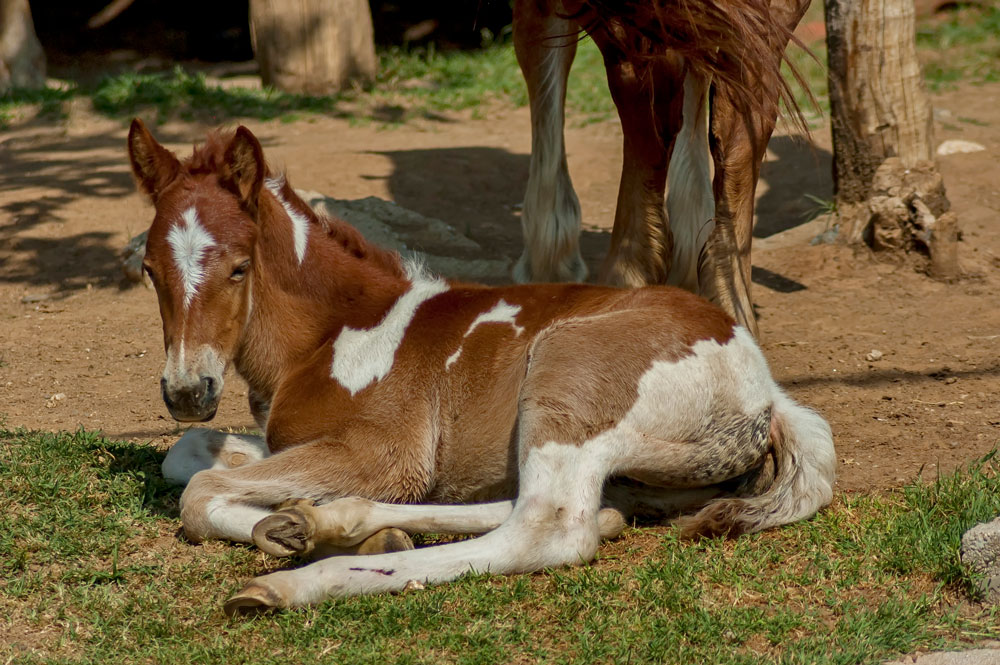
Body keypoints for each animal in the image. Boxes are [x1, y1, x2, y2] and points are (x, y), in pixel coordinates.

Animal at [127, 119, 835, 615]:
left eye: (238, 267)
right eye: (149, 270)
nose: (187, 391)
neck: (329, 336)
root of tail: (763, 387)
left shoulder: (382, 452)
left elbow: (200, 491)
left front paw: (284, 535)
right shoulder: (288, 440)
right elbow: (185, 456)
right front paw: (291, 518)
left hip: (563, 381)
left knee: (549, 530)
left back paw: (299, 579)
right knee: (585, 507)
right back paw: (328, 522)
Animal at [511, 0, 811, 337]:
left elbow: (534, 40)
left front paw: (547, 257)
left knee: (641, 82)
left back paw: (625, 286)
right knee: (746, 106)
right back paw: (728, 302)